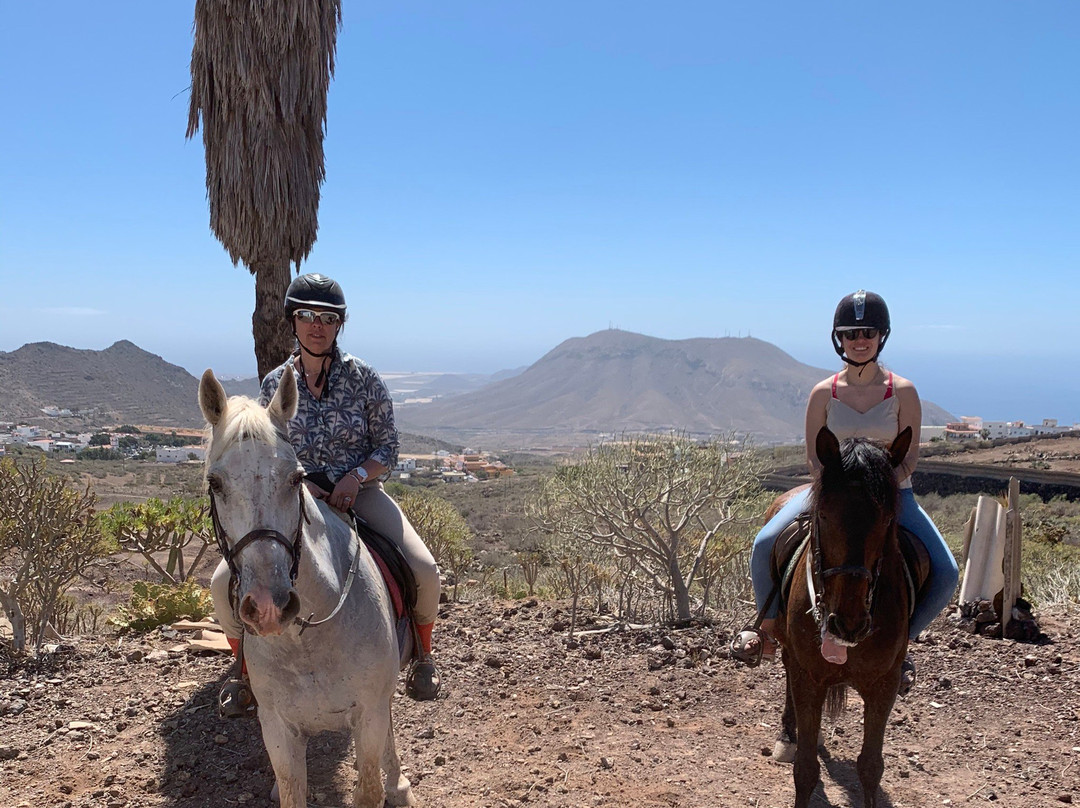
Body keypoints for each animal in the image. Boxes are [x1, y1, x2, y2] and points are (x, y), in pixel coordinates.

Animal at [199, 368, 416, 808]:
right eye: (215, 483)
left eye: (295, 478)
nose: (268, 606)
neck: (307, 642)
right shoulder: (278, 728)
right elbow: (291, 790)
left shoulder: (368, 715)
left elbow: (369, 786)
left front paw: (391, 784)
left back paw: (398, 784)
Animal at [770, 425, 913, 808]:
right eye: (822, 515)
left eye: (888, 520)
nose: (848, 623)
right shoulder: (808, 677)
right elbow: (805, 769)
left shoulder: (885, 683)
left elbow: (871, 767)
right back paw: (788, 734)